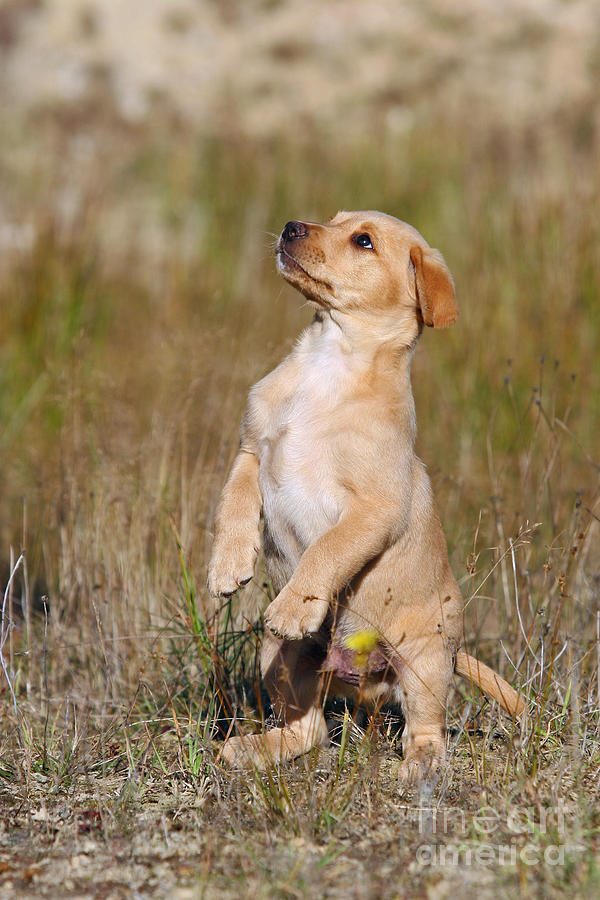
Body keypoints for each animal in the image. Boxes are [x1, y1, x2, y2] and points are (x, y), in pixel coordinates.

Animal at [207, 211, 524, 780]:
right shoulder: (251, 451)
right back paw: (254, 748)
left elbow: (327, 551)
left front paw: (296, 605)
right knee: (310, 731)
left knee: (428, 728)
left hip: (422, 662)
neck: (327, 365)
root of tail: (363, 684)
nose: (290, 226)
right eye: (331, 220)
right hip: (281, 658)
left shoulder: (374, 508)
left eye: (364, 241)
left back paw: (420, 765)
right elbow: (232, 504)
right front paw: (226, 565)